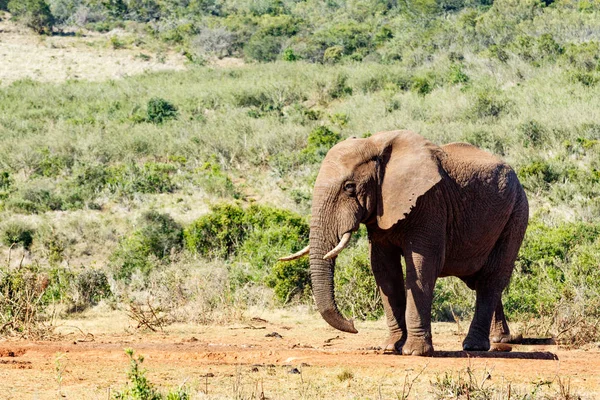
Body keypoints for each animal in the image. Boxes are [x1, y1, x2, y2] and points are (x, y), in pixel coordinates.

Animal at [278, 129, 528, 356]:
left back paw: (474, 346)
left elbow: (422, 266)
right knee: (478, 279)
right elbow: (384, 269)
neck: (375, 146)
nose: (353, 324)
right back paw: (501, 339)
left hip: (516, 213)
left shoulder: (430, 203)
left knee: (491, 278)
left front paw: (415, 352)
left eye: (349, 187)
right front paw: (391, 348)